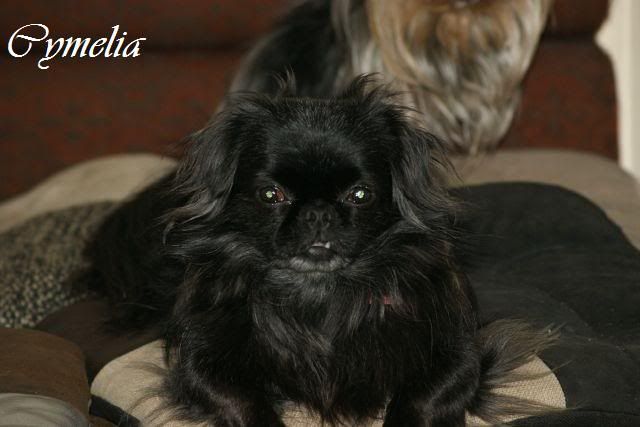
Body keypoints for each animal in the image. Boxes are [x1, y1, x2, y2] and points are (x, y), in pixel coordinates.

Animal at [87, 76, 551, 426]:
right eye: (271, 195)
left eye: (360, 195)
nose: (318, 213)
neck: (319, 294)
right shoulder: (201, 365)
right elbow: (244, 402)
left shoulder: (459, 356)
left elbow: (420, 401)